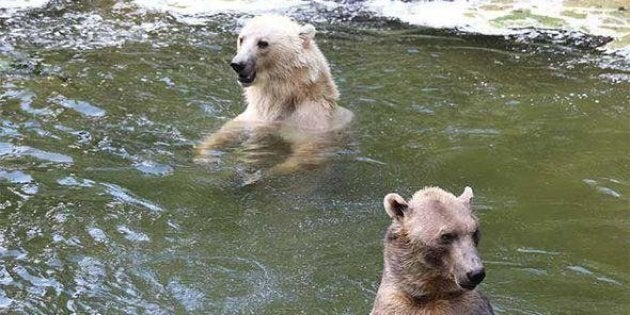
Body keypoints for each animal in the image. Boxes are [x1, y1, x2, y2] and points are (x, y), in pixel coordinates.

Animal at [372, 186, 496, 314]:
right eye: (446, 236)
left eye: (475, 232)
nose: (476, 273)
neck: (431, 294)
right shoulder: (394, 304)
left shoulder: (470, 305)